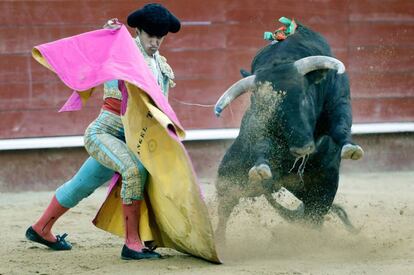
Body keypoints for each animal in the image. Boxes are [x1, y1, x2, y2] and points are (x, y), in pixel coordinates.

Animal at [213, 24, 360, 243]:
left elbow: (340, 124)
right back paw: (219, 242)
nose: (302, 148)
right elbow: (263, 141)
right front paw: (261, 167)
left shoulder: (338, 99)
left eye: (304, 99)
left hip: (323, 188)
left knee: (313, 218)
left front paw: (351, 147)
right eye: (271, 110)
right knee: (225, 208)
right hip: (231, 176)